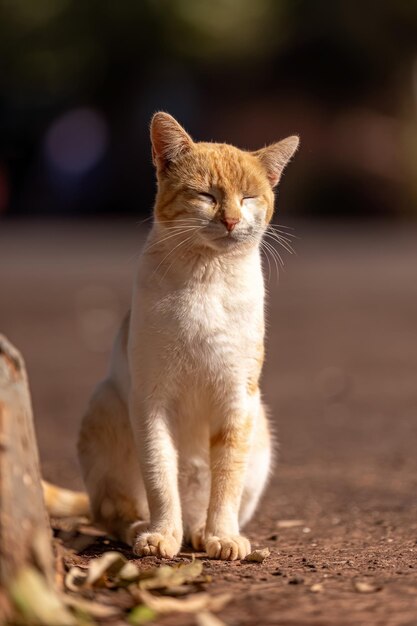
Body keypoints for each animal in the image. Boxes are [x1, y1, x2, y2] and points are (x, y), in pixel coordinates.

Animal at [65, 113, 298, 560]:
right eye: (206, 195)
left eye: (247, 198)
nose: (230, 220)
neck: (207, 277)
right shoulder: (150, 401)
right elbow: (160, 474)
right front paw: (161, 535)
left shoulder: (237, 399)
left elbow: (226, 480)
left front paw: (223, 536)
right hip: (105, 406)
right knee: (113, 513)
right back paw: (147, 528)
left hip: (260, 427)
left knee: (206, 507)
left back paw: (202, 532)